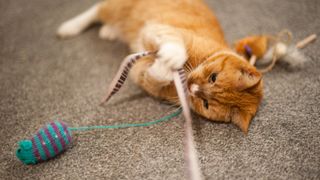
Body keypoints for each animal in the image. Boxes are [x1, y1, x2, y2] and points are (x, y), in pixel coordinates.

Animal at [57, 0, 262, 134]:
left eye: (206, 104)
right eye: (213, 77)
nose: (191, 86)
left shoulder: (142, 75)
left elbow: (155, 75)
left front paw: (163, 67)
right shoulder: (160, 29)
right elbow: (175, 46)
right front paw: (172, 57)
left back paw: (108, 31)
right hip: (118, 7)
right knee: (96, 9)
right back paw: (69, 27)